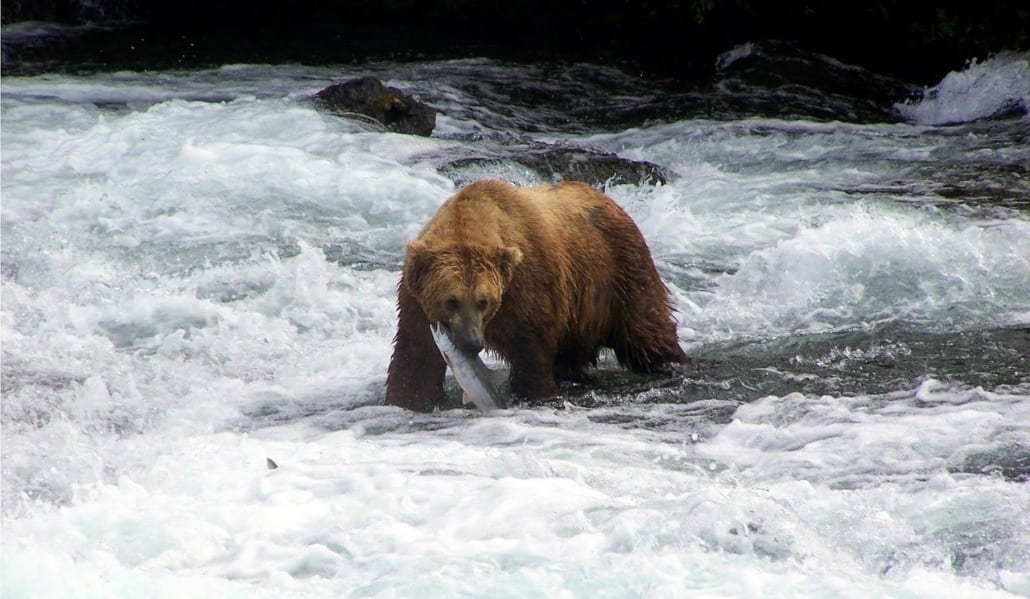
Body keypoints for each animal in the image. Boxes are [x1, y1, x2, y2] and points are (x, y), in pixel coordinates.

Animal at [383, 180, 688, 413]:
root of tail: (607, 198)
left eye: (484, 300)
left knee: (648, 332)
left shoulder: (528, 290)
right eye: (451, 300)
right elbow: (415, 359)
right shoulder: (415, 300)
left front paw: (532, 395)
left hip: (620, 273)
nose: (472, 343)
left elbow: (530, 354)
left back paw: (672, 364)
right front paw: (407, 400)